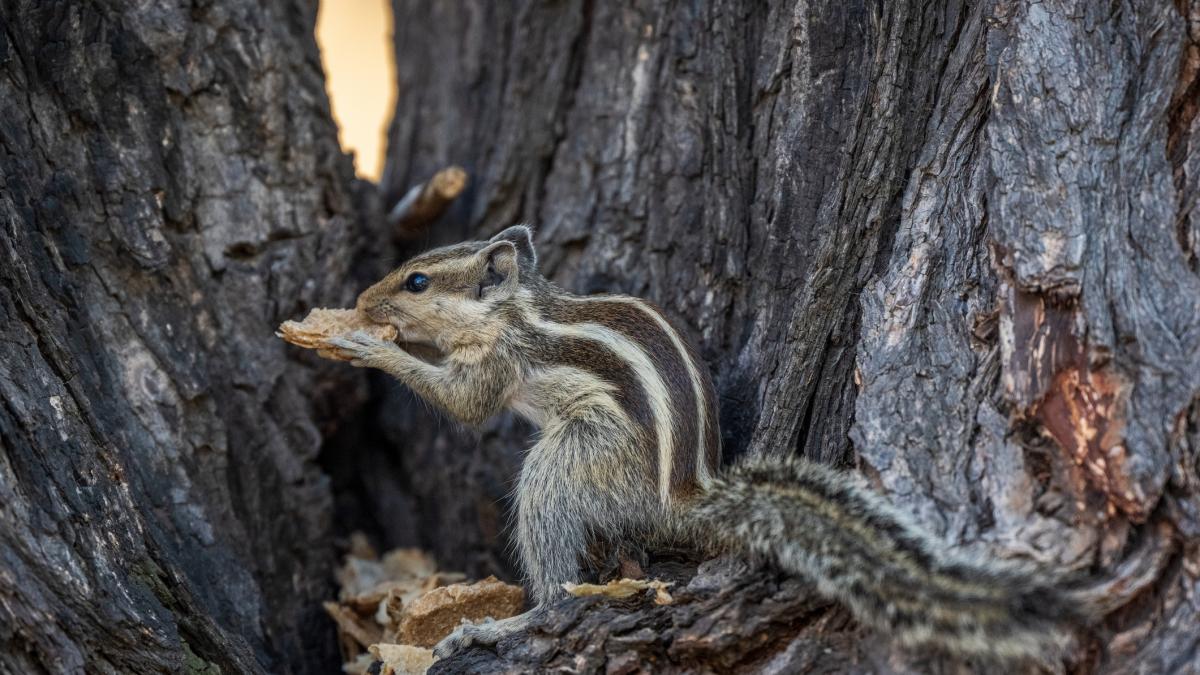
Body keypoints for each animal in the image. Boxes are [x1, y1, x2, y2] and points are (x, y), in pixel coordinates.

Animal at [326, 224, 1080, 662]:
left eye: (417, 281)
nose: (362, 302)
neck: (518, 308)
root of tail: (684, 499)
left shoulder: (501, 360)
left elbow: (466, 405)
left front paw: (369, 347)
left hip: (580, 459)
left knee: (557, 579)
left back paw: (503, 625)